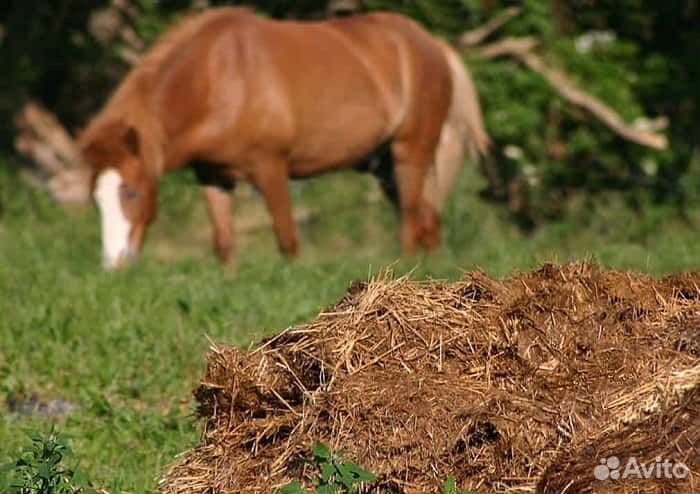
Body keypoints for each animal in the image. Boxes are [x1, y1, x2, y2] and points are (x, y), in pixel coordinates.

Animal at [80, 7, 486, 268]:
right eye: (96, 198)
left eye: (132, 191)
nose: (113, 263)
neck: (218, 78)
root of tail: (434, 44)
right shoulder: (213, 176)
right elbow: (224, 244)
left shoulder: (271, 168)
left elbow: (287, 240)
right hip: (385, 165)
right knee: (427, 219)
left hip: (410, 151)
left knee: (410, 220)